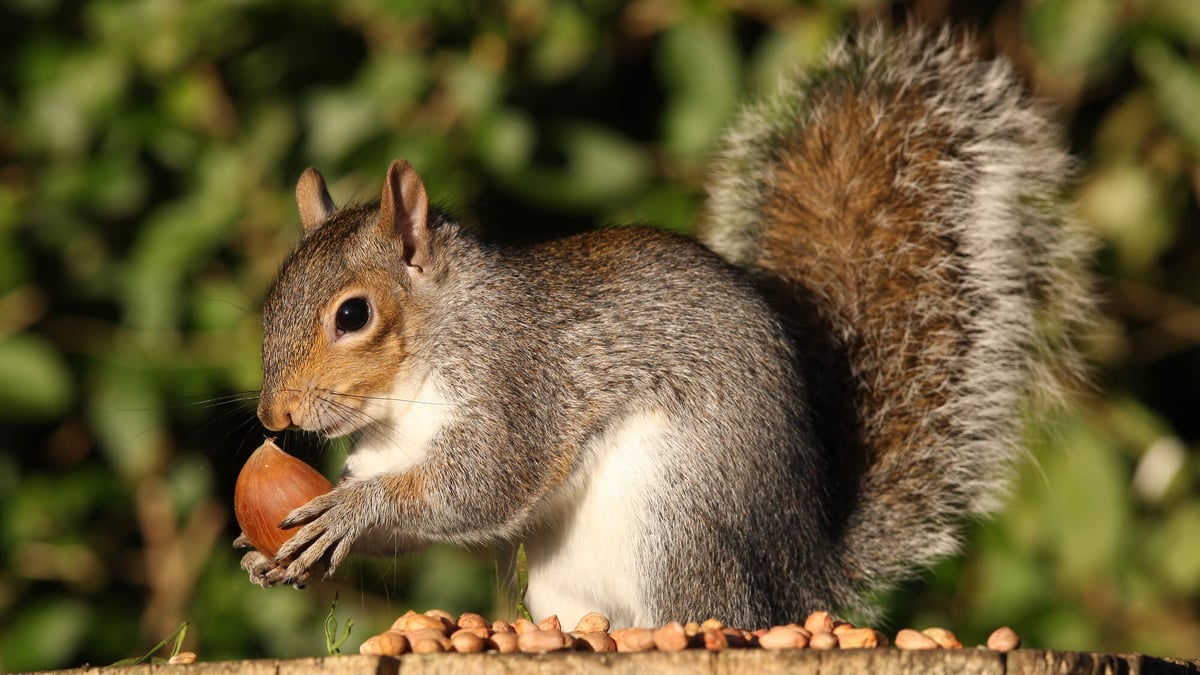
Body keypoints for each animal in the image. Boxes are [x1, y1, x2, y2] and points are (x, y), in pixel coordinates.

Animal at [236, 25, 1092, 629]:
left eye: (353, 314)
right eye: (273, 297)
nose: (272, 416)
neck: (409, 387)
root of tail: (799, 580)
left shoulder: (517, 380)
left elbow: (480, 485)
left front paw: (354, 511)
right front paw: (278, 550)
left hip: (675, 519)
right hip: (567, 577)